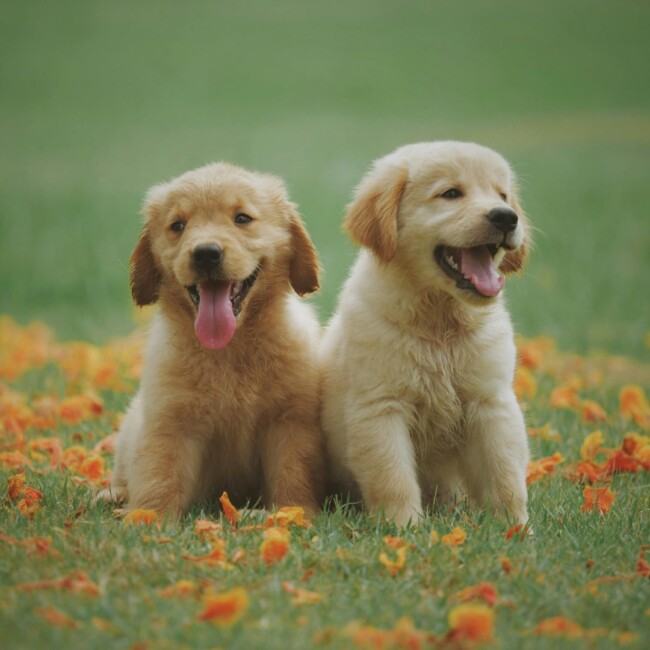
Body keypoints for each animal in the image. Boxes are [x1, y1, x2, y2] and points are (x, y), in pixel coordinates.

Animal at [97, 163, 324, 520]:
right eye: (178, 225)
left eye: (242, 218)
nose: (205, 254)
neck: (229, 349)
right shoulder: (170, 420)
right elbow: (159, 473)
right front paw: (147, 518)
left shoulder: (290, 420)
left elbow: (293, 471)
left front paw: (292, 513)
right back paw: (113, 495)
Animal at [322, 142, 528, 528]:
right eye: (451, 194)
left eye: (502, 195)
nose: (507, 217)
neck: (439, 325)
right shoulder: (381, 407)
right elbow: (393, 476)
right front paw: (404, 528)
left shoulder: (490, 402)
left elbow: (504, 473)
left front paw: (515, 528)